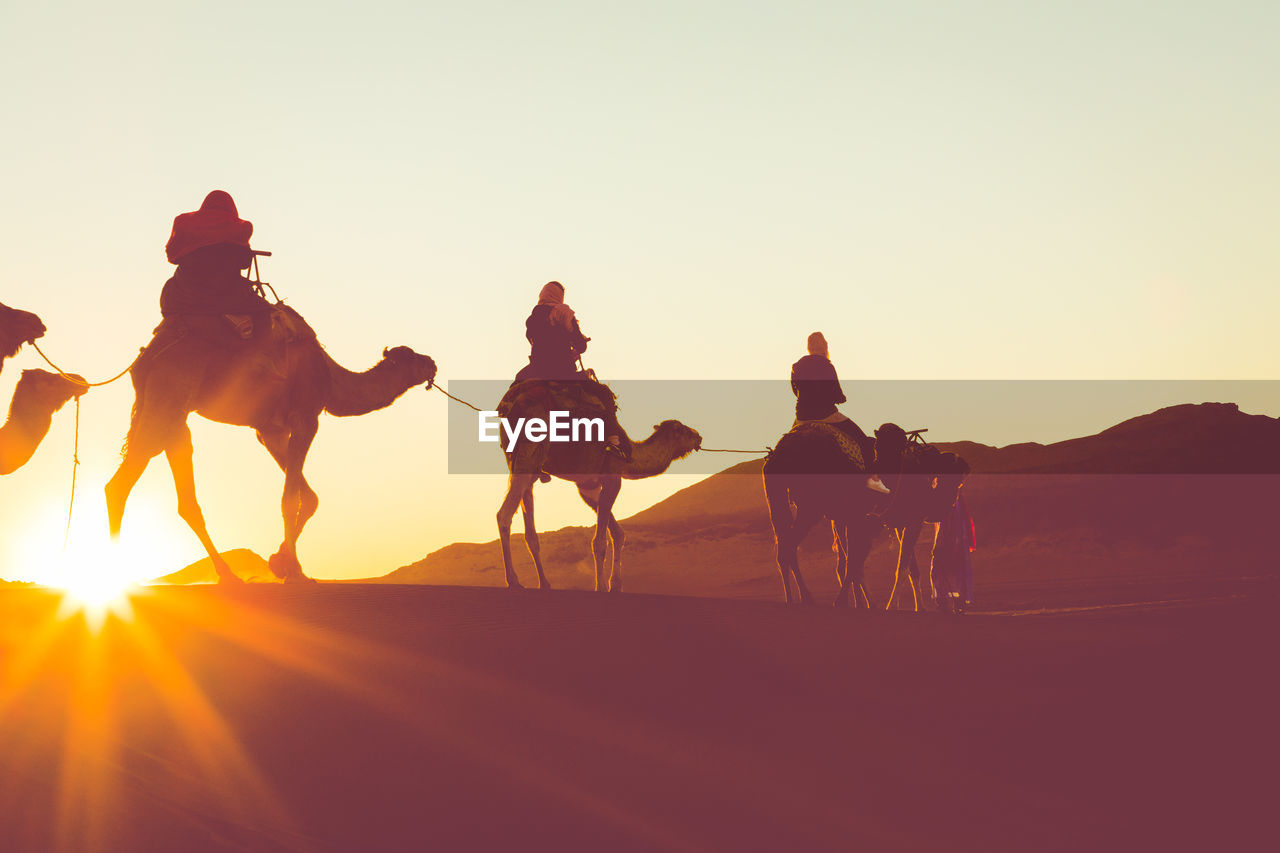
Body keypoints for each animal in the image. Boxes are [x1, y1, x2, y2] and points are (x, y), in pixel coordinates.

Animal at [106, 307, 435, 584]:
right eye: (413, 358)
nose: (432, 363)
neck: (329, 378)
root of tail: (145, 359)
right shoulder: (306, 418)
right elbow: (290, 498)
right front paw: (296, 573)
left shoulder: (270, 431)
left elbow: (309, 497)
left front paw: (279, 561)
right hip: (170, 392)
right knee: (123, 481)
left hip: (174, 414)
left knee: (175, 488)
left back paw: (226, 575)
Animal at [496, 379, 701, 589]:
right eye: (683, 430)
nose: (698, 436)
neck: (631, 456)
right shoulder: (612, 477)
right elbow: (600, 542)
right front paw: (601, 586)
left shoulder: (587, 486)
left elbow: (617, 533)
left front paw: (615, 584)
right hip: (531, 451)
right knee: (503, 515)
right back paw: (513, 581)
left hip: (522, 463)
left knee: (530, 530)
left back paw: (544, 583)